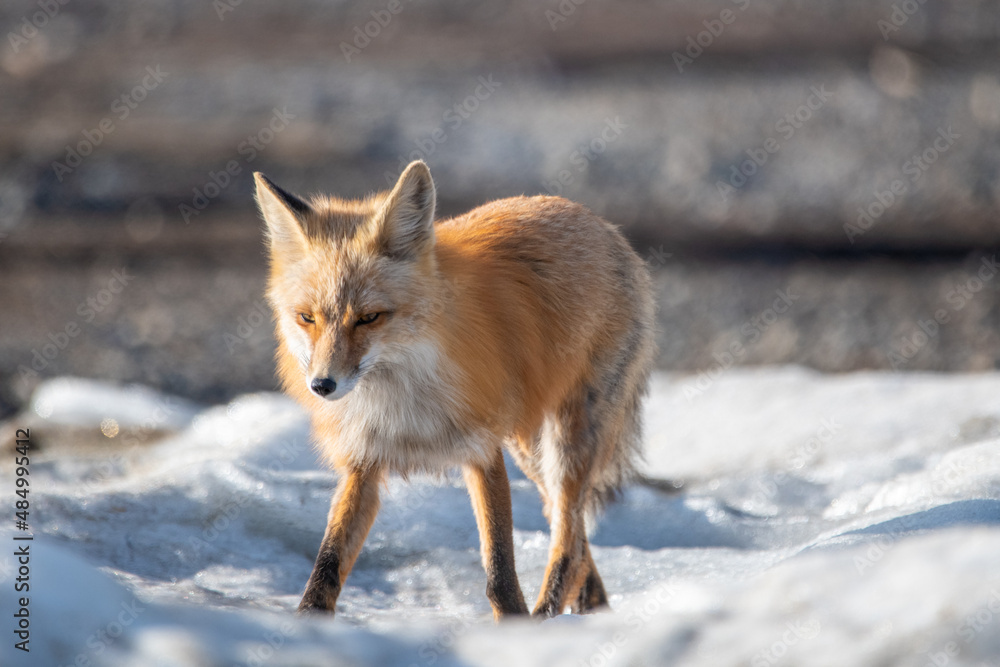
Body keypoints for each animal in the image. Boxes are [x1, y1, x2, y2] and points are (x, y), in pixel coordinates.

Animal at [253, 161, 655, 620]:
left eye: (369, 317)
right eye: (307, 318)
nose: (322, 385)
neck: (401, 400)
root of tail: (597, 222)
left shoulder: (482, 450)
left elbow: (499, 572)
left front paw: (515, 626)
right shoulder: (363, 462)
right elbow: (327, 565)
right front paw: (308, 620)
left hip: (564, 443)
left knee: (568, 538)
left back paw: (548, 615)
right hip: (530, 450)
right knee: (571, 530)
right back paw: (592, 606)